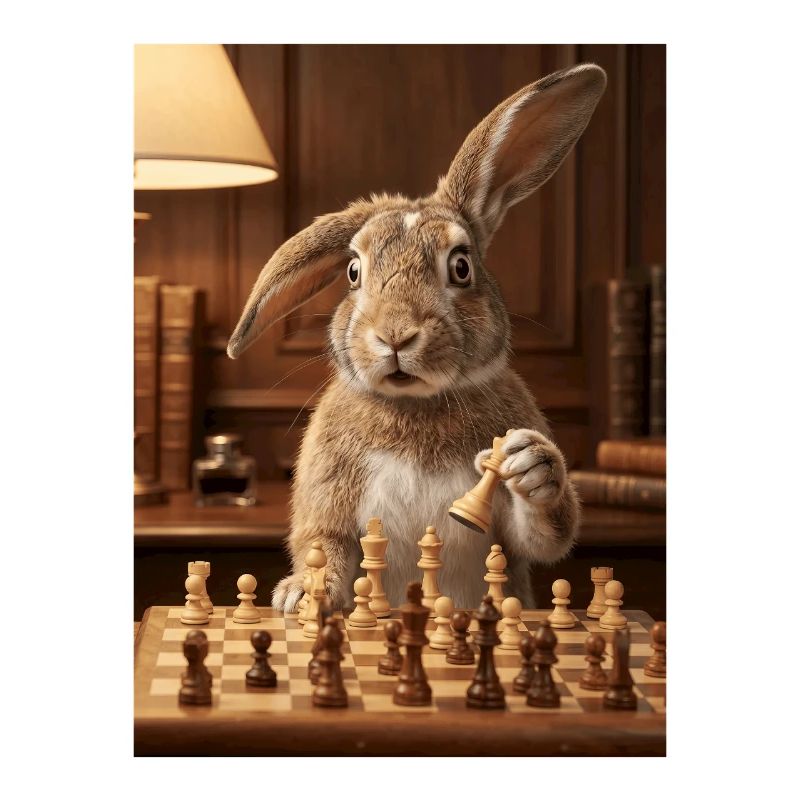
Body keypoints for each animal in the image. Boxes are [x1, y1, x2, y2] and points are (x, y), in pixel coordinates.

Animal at [227, 63, 607, 612]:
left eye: (462, 266)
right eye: (353, 272)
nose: (395, 336)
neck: (416, 406)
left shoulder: (506, 533)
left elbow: (543, 537)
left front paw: (532, 465)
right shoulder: (327, 492)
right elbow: (323, 542)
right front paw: (300, 595)